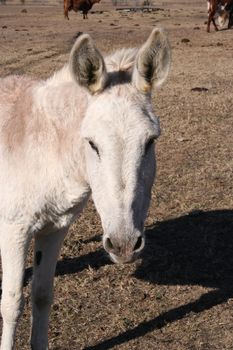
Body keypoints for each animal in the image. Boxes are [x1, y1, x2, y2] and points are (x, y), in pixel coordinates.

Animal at [0, 28, 171, 350]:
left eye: (151, 141)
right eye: (92, 143)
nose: (124, 245)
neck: (45, 146)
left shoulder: (55, 227)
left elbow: (42, 296)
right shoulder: (13, 229)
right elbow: (12, 303)